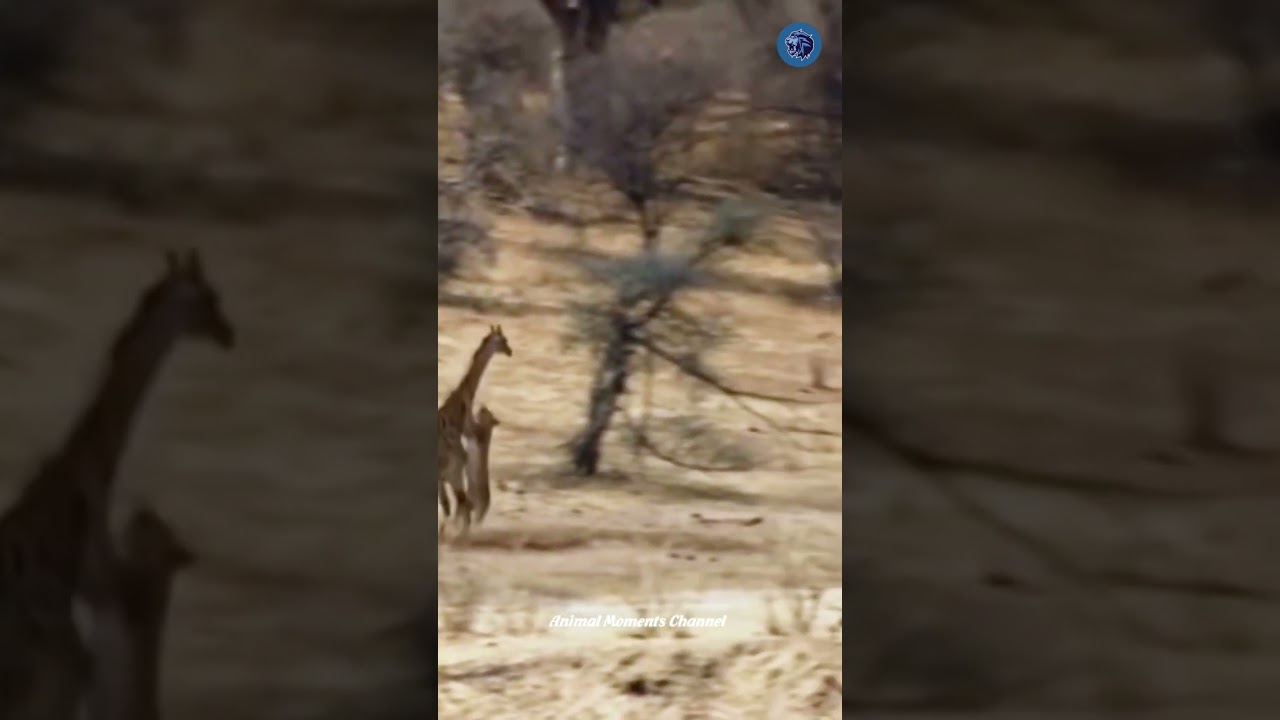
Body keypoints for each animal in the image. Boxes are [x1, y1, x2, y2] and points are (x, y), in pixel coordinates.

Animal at [437, 325, 512, 540]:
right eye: (503, 340)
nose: (510, 352)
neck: (465, 393)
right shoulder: (468, 429)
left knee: (456, 504)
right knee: (459, 504)